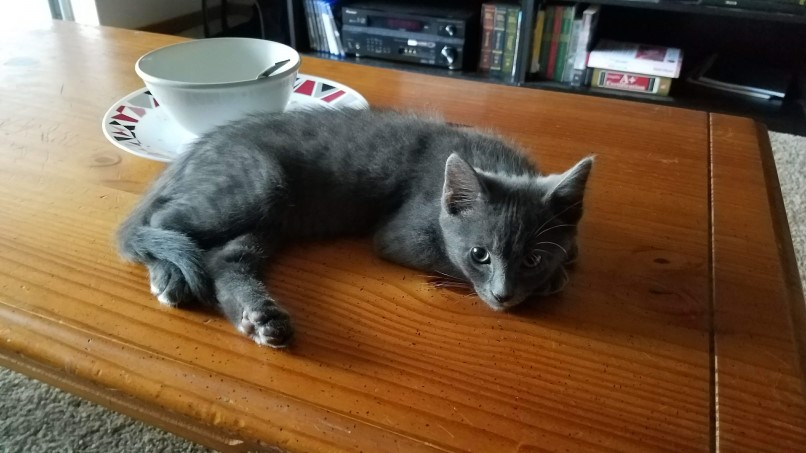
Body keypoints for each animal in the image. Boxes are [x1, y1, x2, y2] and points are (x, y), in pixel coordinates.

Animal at [117, 108, 593, 348]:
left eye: (531, 258)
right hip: (258, 183)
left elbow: (571, 249)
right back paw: (170, 277)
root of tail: (192, 152)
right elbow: (441, 257)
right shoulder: (402, 234)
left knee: (225, 259)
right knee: (160, 224)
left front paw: (559, 267)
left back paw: (260, 318)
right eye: (480, 255)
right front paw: (553, 281)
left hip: (270, 218)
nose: (503, 294)